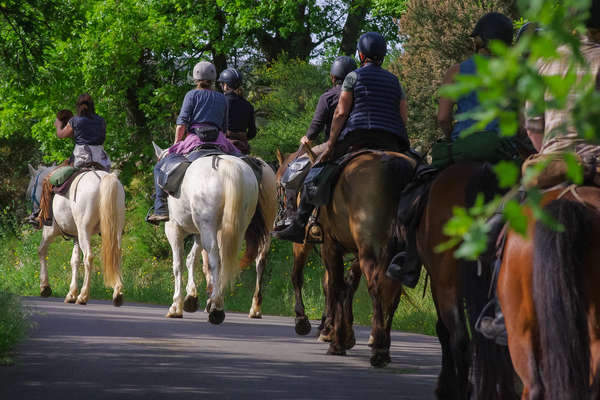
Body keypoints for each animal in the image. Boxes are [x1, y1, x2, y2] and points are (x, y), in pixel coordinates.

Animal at [27, 164, 126, 304]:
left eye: (31, 190)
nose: (33, 218)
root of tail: (103, 178)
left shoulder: (50, 232)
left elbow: (41, 251)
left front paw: (45, 287)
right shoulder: (76, 237)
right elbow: (74, 260)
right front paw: (71, 294)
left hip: (84, 231)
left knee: (88, 257)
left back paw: (83, 296)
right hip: (115, 230)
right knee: (117, 254)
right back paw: (117, 293)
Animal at [154, 144, 278, 322]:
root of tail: (230, 168)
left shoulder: (174, 229)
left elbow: (178, 265)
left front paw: (176, 306)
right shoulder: (199, 232)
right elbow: (191, 259)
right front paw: (191, 297)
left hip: (209, 228)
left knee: (216, 258)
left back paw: (216, 307)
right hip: (246, 228)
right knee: (256, 260)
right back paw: (252, 308)